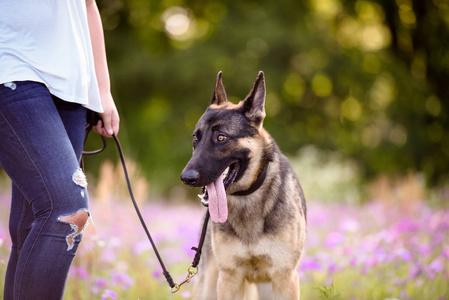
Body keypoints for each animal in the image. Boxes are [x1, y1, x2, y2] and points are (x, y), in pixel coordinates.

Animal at [180, 71, 306, 298]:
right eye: (196, 137)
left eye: (221, 137)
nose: (186, 178)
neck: (246, 196)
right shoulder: (230, 278)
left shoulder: (284, 279)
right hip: (208, 285)